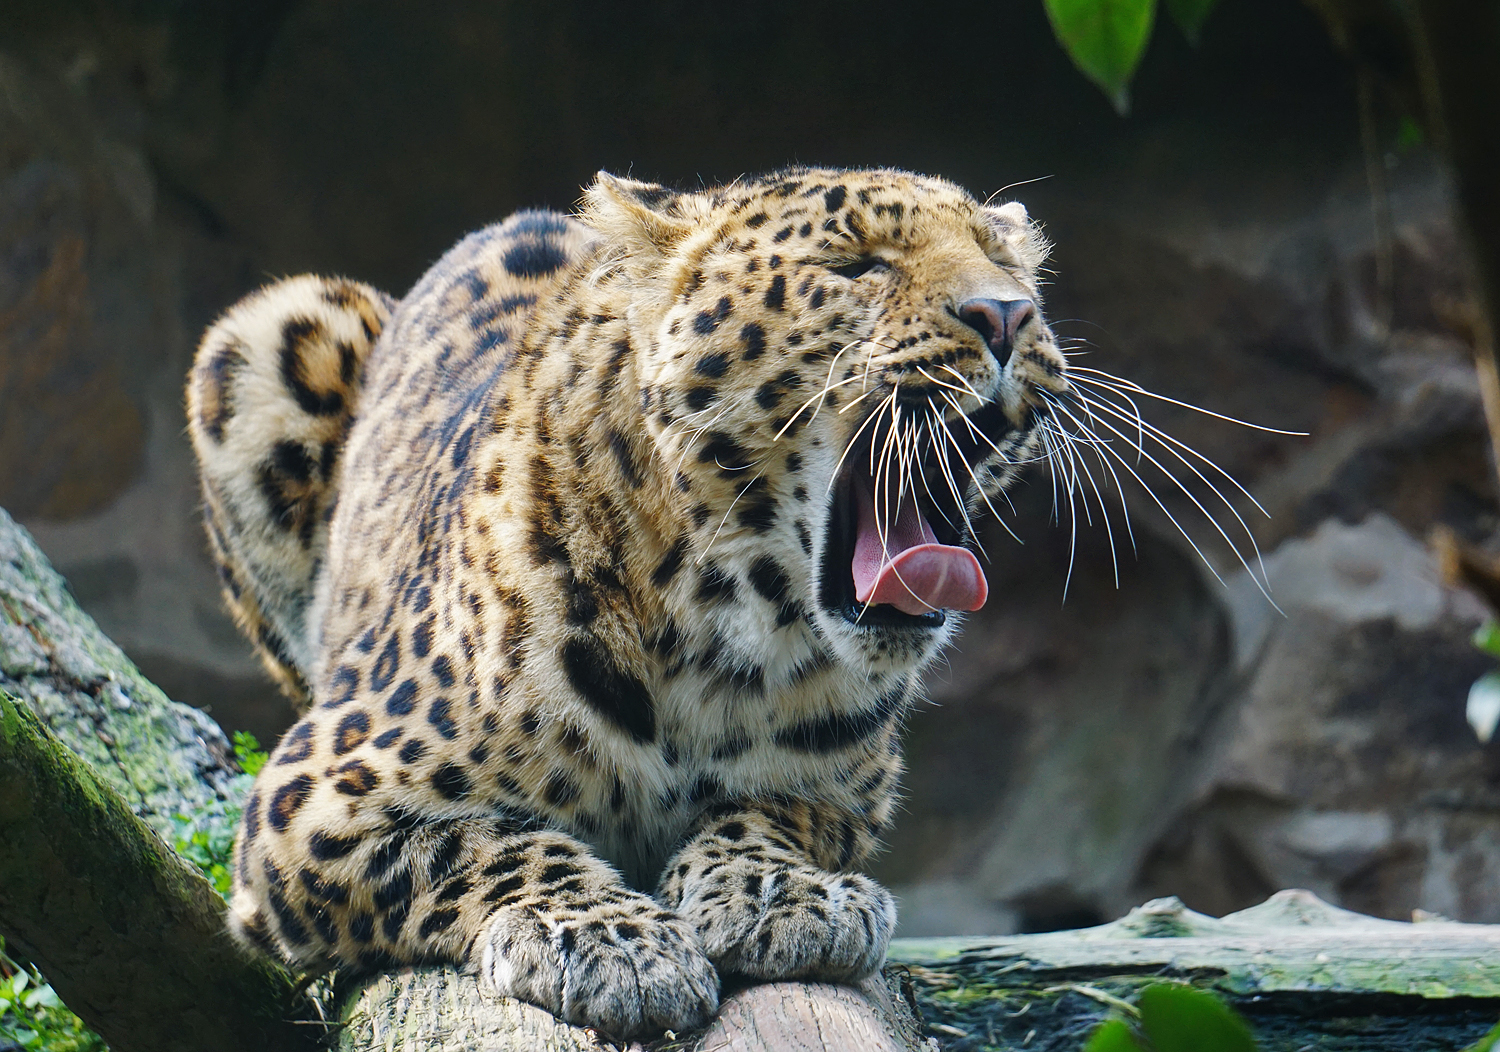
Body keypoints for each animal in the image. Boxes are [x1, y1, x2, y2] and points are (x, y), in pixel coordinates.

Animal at [186, 166, 1065, 1039]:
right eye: (856, 266)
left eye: (1006, 265)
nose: (1005, 315)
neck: (724, 631)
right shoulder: (312, 800)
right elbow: (487, 844)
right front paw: (610, 940)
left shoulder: (850, 793)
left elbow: (773, 813)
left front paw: (781, 892)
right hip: (262, 338)